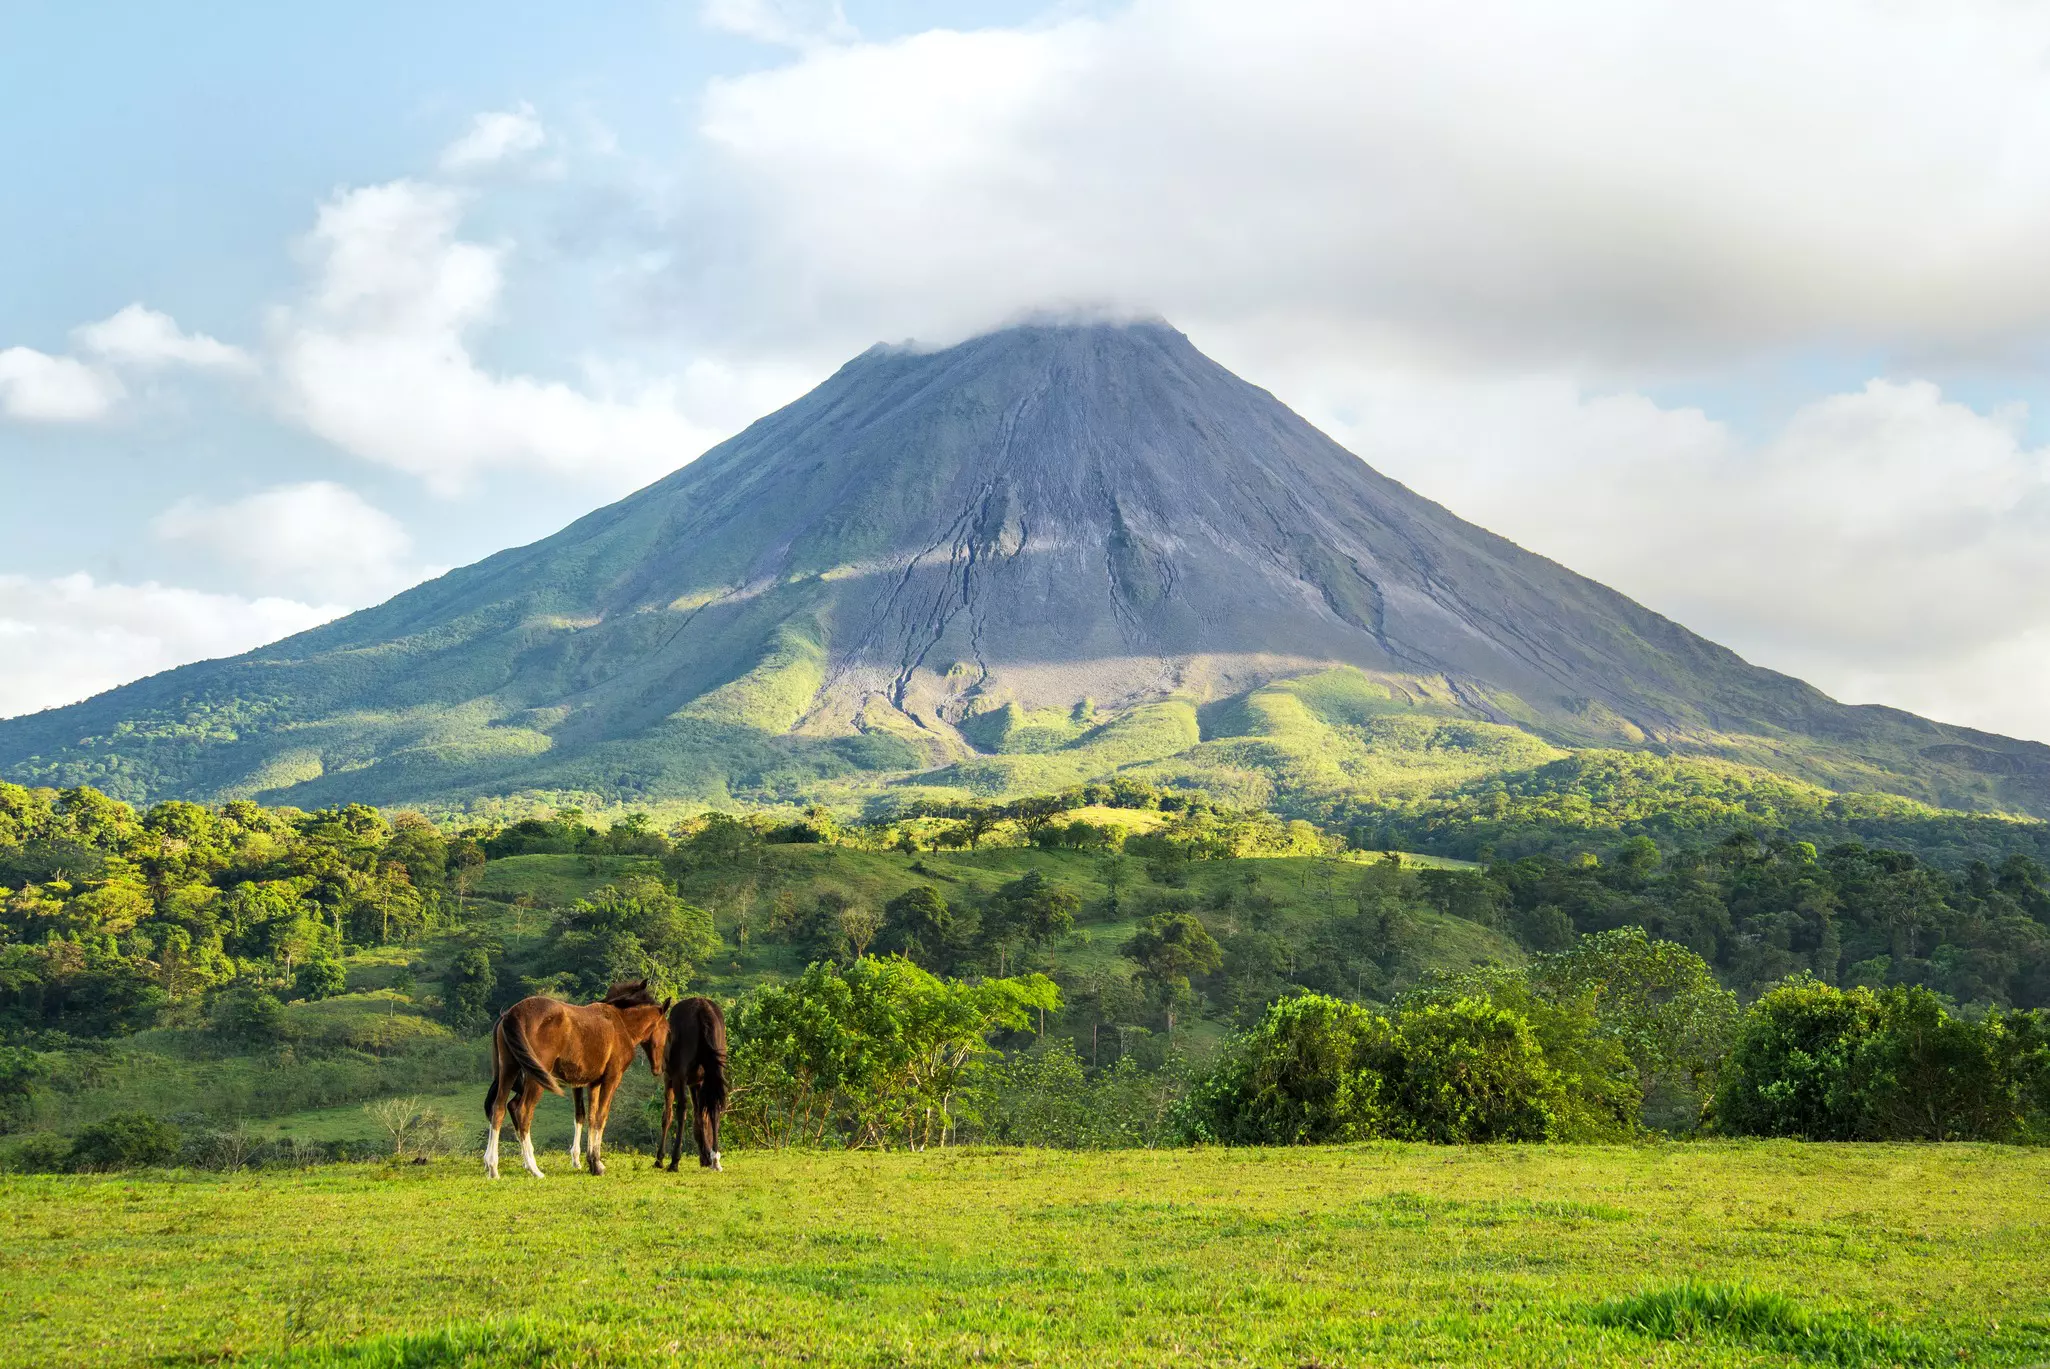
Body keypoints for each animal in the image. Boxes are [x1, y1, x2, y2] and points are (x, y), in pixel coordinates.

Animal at [484, 980, 669, 1179]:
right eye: (667, 1030)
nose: (659, 1069)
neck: (621, 1024)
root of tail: (511, 1014)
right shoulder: (611, 1078)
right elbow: (601, 1117)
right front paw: (596, 1164)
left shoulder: (593, 1083)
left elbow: (590, 1117)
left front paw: (591, 1162)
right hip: (534, 1077)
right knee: (523, 1112)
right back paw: (534, 1168)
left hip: (508, 1070)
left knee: (499, 1109)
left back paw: (493, 1167)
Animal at [657, 996, 730, 1172]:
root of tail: (701, 1008)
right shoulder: (697, 1083)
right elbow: (699, 1116)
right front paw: (705, 1157)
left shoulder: (670, 1080)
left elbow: (667, 1116)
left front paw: (660, 1158)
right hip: (714, 1073)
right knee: (714, 1109)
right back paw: (715, 1159)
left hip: (679, 1078)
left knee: (681, 1109)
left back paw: (674, 1161)